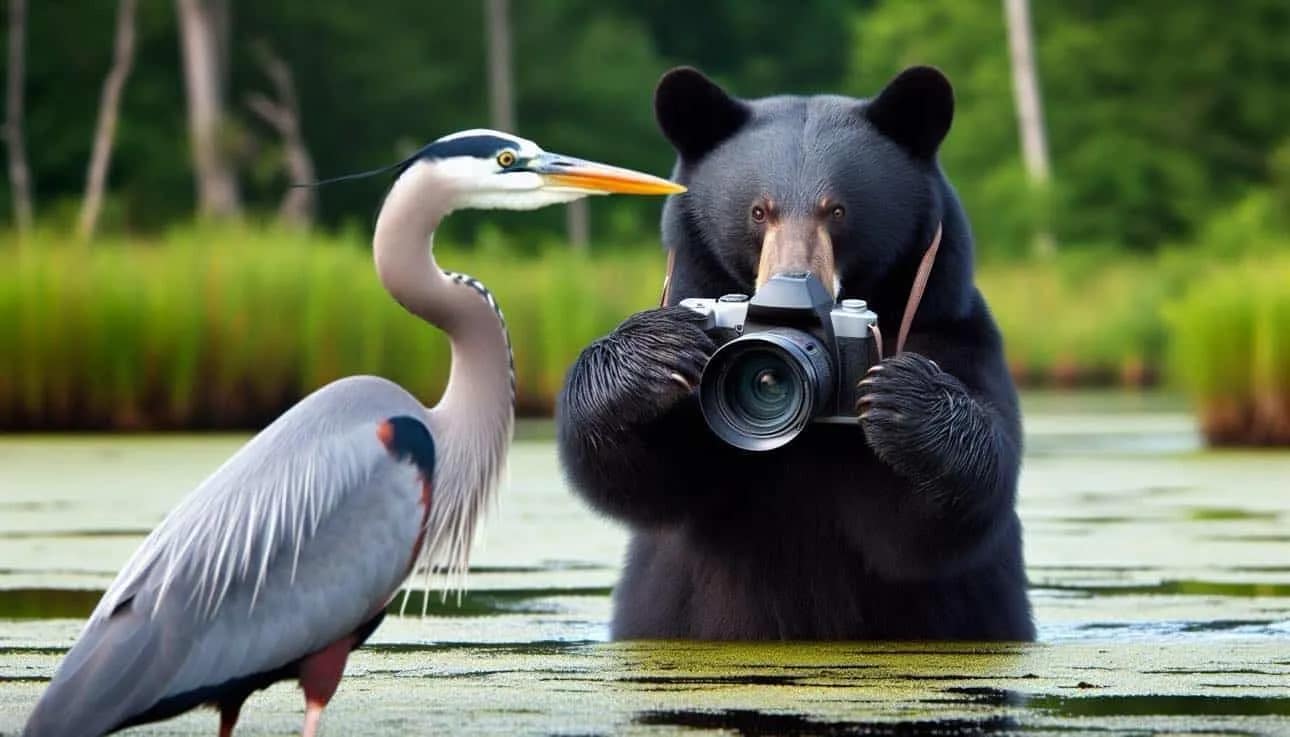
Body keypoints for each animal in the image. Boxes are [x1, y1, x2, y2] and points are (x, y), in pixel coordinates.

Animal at [555, 66, 1034, 641]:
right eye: (759, 211)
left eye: (838, 210)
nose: (791, 280)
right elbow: (644, 477)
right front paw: (652, 354)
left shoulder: (953, 333)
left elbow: (929, 519)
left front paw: (904, 399)